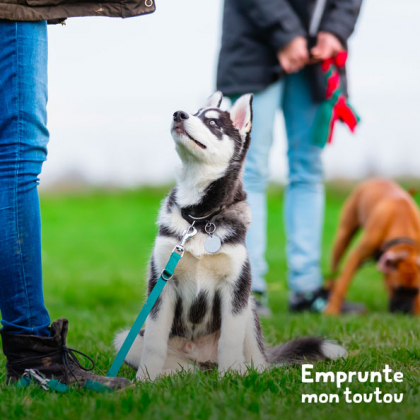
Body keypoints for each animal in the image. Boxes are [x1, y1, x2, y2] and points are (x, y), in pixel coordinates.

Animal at [114, 92, 344, 380]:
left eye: (212, 122)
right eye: (193, 113)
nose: (178, 114)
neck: (199, 219)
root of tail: (202, 360)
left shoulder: (235, 288)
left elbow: (230, 340)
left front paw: (231, 377)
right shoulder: (161, 285)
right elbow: (155, 342)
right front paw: (146, 380)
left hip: (249, 311)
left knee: (255, 359)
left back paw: (246, 372)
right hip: (127, 338)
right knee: (180, 366)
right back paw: (173, 376)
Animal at [326, 180, 420, 316]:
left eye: (415, 291)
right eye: (396, 289)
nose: (404, 312)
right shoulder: (356, 256)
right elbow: (342, 285)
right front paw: (332, 310)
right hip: (343, 238)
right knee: (334, 271)